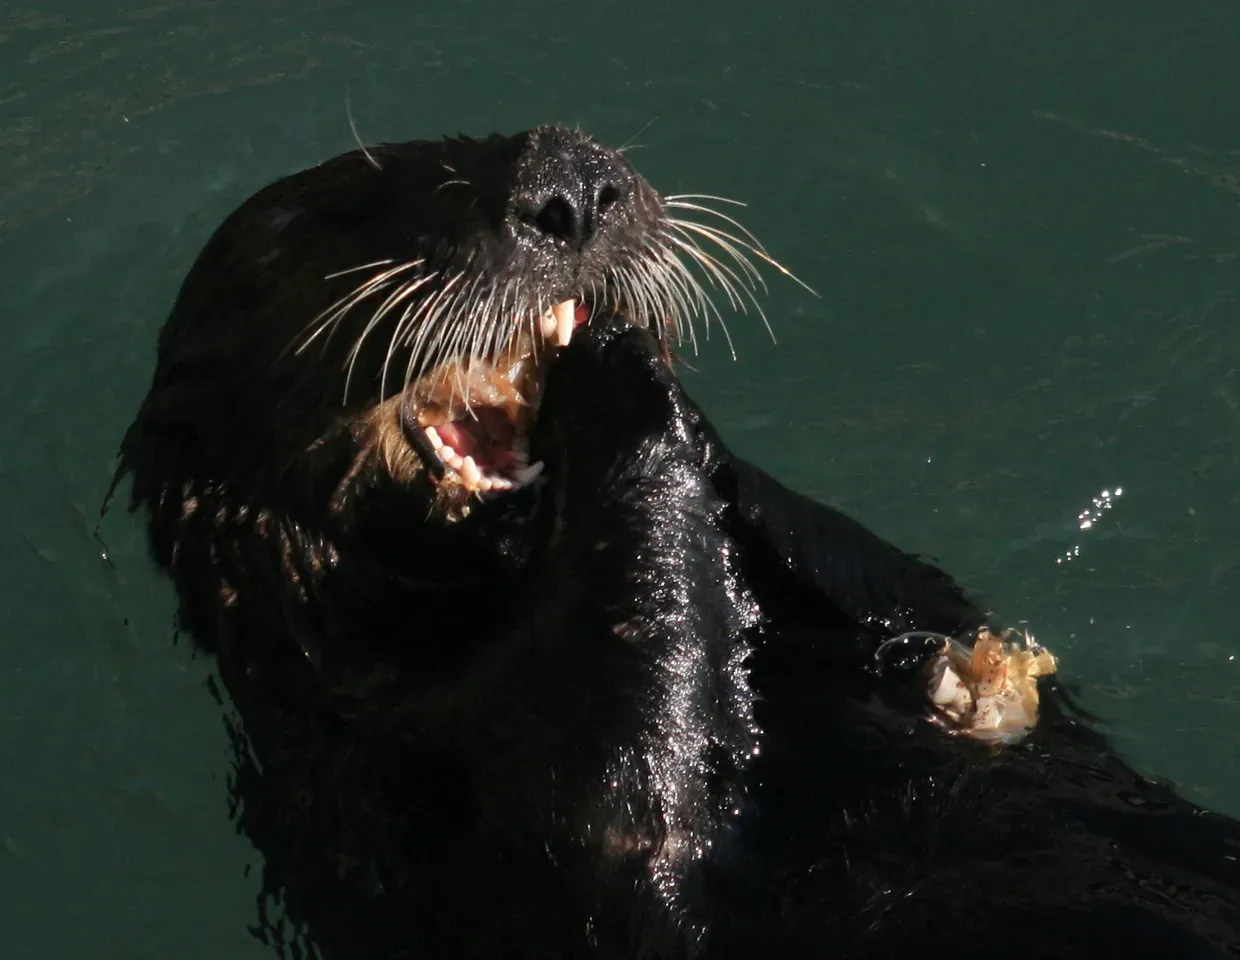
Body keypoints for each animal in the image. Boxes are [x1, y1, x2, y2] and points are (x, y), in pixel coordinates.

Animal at [114, 127, 1240, 958]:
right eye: (347, 210)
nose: (571, 185)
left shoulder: (892, 595)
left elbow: (906, 592)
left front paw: (651, 368)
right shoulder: (411, 776)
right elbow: (622, 801)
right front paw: (618, 374)